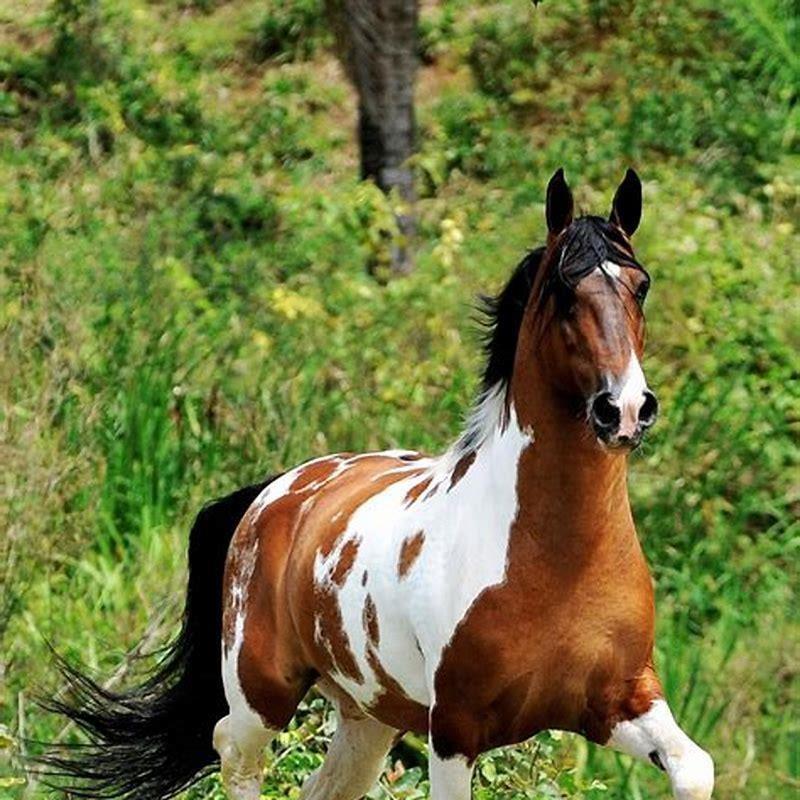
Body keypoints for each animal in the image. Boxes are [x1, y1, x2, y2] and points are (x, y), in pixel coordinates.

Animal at [43, 169, 714, 800]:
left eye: (641, 285)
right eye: (564, 290)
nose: (624, 410)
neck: (556, 561)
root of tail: (270, 495)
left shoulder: (620, 700)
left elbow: (695, 769)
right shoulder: (455, 732)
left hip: (368, 717)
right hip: (263, 693)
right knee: (233, 752)